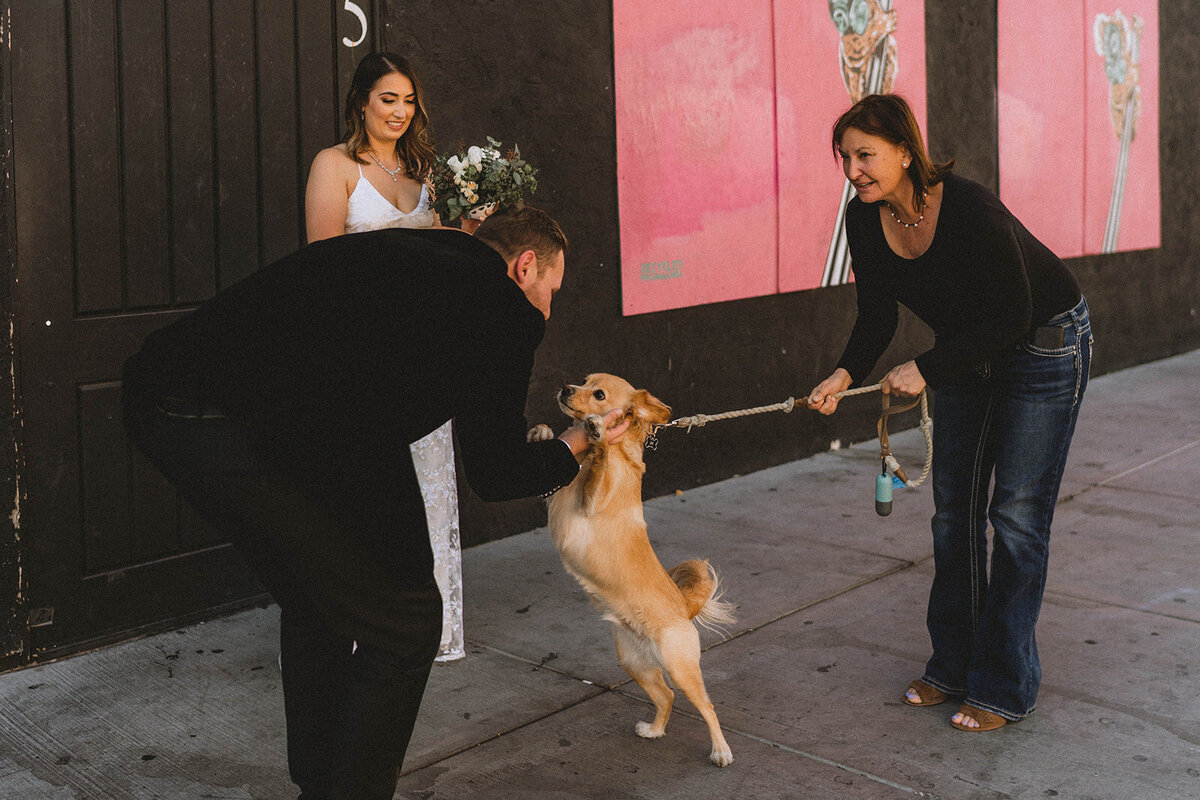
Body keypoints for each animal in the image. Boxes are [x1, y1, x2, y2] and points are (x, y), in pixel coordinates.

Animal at [530, 371, 734, 767]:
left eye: (598, 394)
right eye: (581, 380)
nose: (565, 389)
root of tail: (683, 608)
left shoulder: (590, 502)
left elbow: (599, 466)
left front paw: (598, 438)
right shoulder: (556, 495)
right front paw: (543, 432)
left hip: (680, 667)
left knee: (707, 706)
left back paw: (720, 750)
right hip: (634, 663)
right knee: (666, 696)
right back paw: (654, 731)